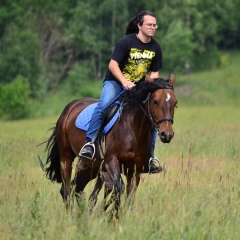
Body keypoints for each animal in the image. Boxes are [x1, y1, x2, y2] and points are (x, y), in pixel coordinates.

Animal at [40, 73, 177, 218]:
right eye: (155, 101)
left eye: (175, 103)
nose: (167, 134)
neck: (133, 128)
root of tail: (69, 108)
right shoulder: (111, 161)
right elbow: (118, 188)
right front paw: (111, 216)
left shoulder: (135, 169)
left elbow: (128, 194)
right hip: (66, 157)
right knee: (66, 189)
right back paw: (72, 217)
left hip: (91, 166)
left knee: (76, 187)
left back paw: (83, 214)